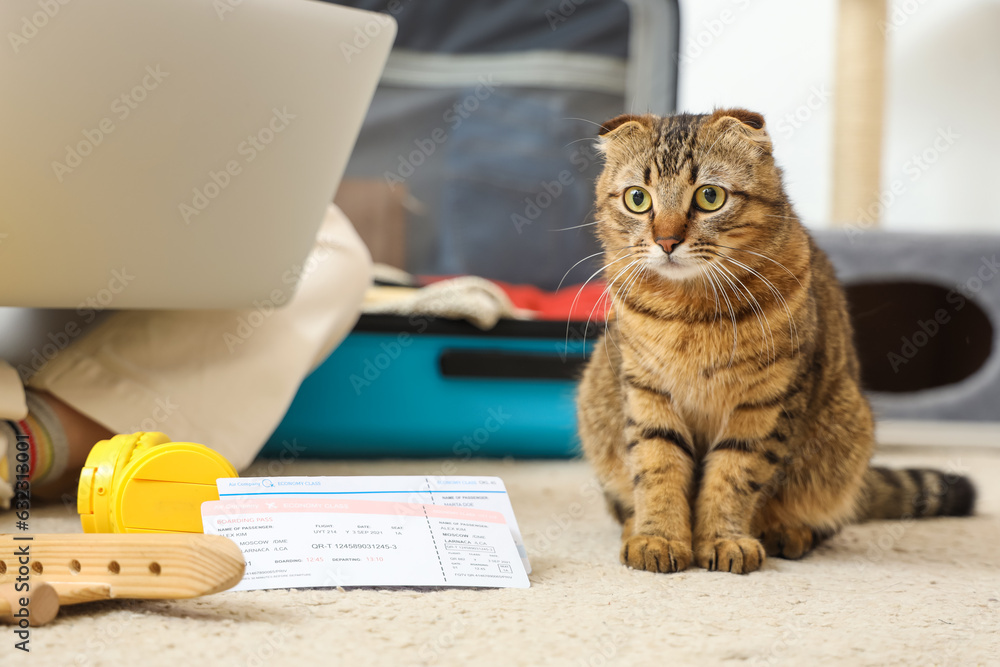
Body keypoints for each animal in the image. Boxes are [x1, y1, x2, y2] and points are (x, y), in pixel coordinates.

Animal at [580, 108, 976, 576]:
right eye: (638, 199)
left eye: (709, 196)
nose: (666, 241)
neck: (690, 312)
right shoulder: (646, 391)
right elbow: (657, 468)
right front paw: (658, 535)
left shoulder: (766, 402)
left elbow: (733, 475)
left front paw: (724, 538)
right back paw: (633, 527)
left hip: (847, 432)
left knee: (826, 519)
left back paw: (788, 532)